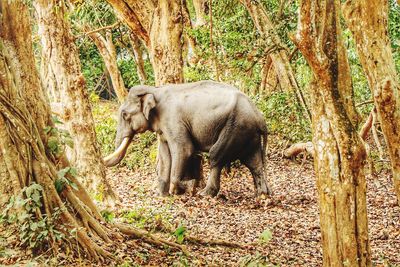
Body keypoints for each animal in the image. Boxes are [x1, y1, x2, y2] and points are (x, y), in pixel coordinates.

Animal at [103, 80, 272, 198]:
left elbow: (184, 149)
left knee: (216, 156)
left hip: (235, 127)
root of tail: (260, 118)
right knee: (254, 162)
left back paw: (205, 194)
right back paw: (262, 195)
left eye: (124, 115)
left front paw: (178, 190)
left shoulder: (173, 118)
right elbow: (165, 155)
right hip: (248, 134)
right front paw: (163, 195)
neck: (155, 89)